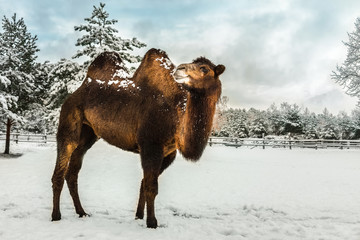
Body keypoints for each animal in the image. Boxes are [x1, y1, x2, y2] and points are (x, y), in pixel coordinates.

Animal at [50, 47, 225, 228]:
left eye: (204, 68)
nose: (180, 69)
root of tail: (76, 92)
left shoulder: (169, 154)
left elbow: (144, 184)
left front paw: (139, 216)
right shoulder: (150, 146)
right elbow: (151, 187)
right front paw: (152, 222)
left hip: (89, 132)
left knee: (73, 171)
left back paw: (82, 212)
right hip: (69, 117)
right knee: (60, 169)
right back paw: (56, 216)